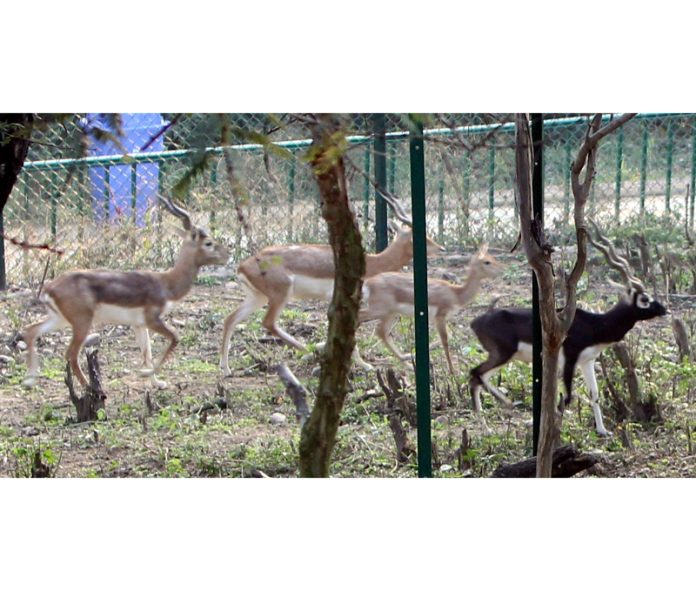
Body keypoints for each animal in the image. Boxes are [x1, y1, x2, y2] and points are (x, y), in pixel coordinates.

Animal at [220, 193, 444, 374]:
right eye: (417, 236)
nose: (440, 248)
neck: (372, 262)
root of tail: (243, 266)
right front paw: (365, 365)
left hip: (257, 297)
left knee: (230, 319)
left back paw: (226, 370)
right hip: (280, 295)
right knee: (268, 322)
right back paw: (307, 350)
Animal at [358, 244, 500, 372]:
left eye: (493, 258)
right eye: (487, 262)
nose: (501, 270)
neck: (456, 294)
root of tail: (368, 283)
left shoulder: (437, 318)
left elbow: (446, 337)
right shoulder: (440, 316)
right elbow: (445, 340)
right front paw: (453, 371)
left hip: (391, 314)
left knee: (381, 332)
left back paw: (407, 363)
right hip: (379, 310)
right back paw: (367, 365)